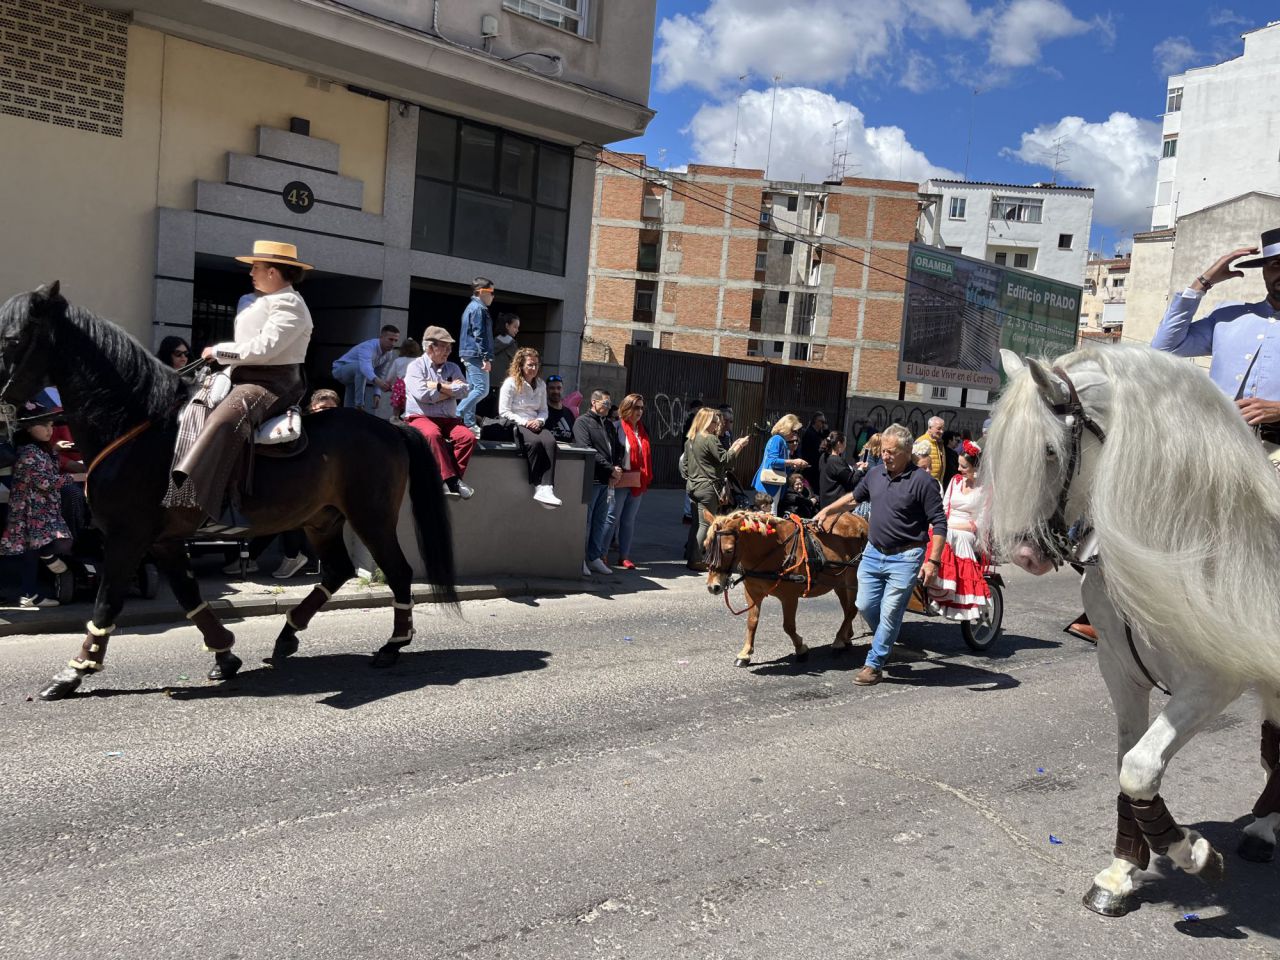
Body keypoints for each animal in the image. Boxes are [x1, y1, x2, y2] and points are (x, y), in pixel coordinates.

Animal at [0, 284, 460, 701]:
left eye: (12, 339)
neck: (137, 428)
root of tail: (390, 427)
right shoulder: (162, 541)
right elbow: (188, 596)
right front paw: (224, 656)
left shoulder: (127, 538)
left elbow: (106, 602)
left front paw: (74, 672)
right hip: (322, 518)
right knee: (336, 570)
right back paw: (287, 635)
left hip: (371, 516)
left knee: (397, 572)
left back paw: (392, 646)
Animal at [701, 512, 870, 670]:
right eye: (705, 546)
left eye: (729, 550)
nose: (713, 586)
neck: (771, 551)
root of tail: (860, 520)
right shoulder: (752, 592)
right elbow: (752, 622)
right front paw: (745, 653)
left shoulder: (789, 597)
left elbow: (788, 626)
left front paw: (801, 649)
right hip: (838, 582)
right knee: (847, 609)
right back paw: (846, 638)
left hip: (853, 578)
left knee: (852, 609)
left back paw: (838, 641)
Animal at [983, 343, 1274, 916]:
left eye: (1049, 452)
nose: (1025, 554)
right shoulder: (1120, 670)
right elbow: (1129, 765)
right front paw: (1121, 872)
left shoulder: (1214, 682)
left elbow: (1139, 766)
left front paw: (1194, 853)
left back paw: (1265, 829)